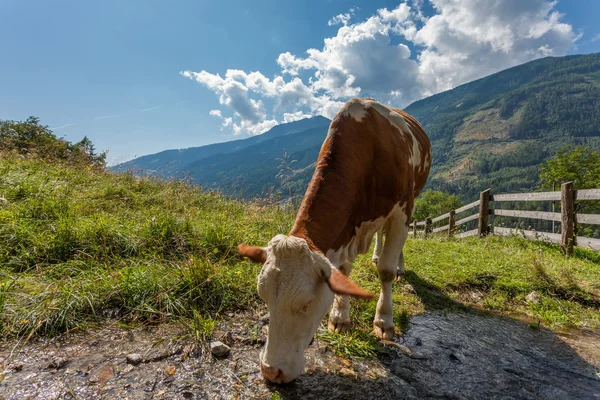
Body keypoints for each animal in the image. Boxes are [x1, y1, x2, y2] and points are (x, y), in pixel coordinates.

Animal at [238, 97, 432, 384]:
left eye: (307, 303)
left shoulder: (401, 210)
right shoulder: (345, 233)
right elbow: (342, 272)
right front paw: (340, 316)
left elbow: (384, 271)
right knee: (379, 236)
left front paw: (384, 321)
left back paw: (398, 266)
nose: (271, 371)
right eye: (264, 296)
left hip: (413, 198)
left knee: (392, 247)